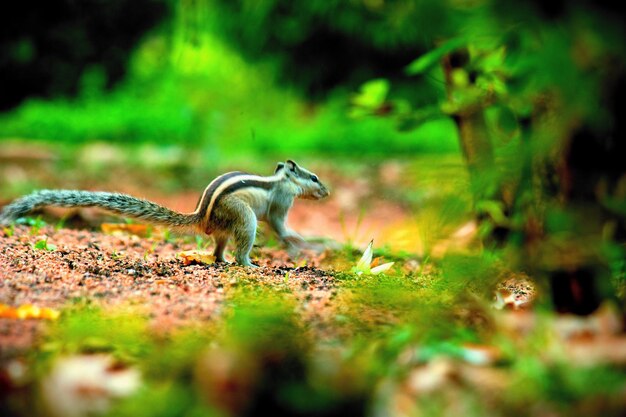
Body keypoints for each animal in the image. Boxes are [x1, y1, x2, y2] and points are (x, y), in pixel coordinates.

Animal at [0, 159, 330, 266]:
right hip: (244, 218)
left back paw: (222, 260)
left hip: (226, 227)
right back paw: (248, 263)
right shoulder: (282, 201)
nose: (327, 192)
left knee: (218, 251)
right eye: (314, 178)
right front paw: (298, 240)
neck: (282, 180)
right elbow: (279, 223)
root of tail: (202, 217)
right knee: (240, 249)